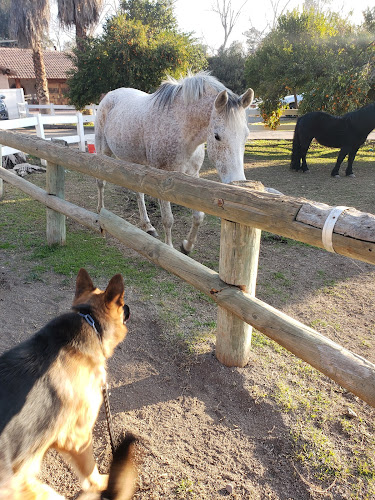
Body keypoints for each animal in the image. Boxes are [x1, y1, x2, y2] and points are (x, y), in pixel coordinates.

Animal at [0, 270, 134, 500]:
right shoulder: (78, 438)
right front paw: (102, 483)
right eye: (121, 303)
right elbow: (91, 472)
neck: (89, 320)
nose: (128, 308)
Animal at [94, 71, 254, 254]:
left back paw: (148, 226)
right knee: (100, 182)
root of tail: (109, 95)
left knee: (138, 193)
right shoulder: (163, 179)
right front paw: (168, 249)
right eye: (217, 136)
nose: (237, 182)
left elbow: (198, 216)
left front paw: (186, 246)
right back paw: (99, 212)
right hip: (103, 151)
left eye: (246, 135)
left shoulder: (193, 175)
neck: (181, 127)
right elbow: (168, 219)